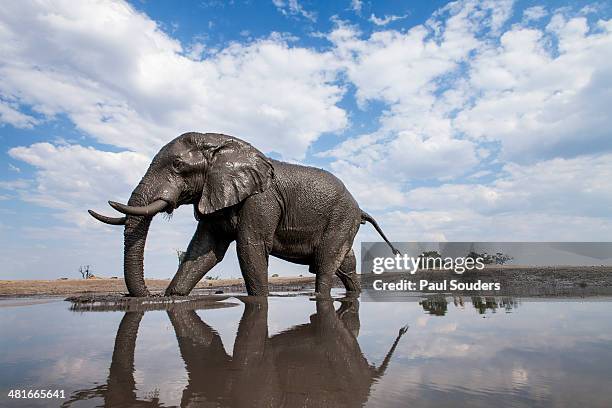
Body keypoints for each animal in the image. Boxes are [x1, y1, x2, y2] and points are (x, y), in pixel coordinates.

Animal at [88, 132, 400, 294]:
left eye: (177, 165)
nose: (148, 296)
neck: (220, 145)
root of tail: (360, 208)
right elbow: (204, 251)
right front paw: (173, 298)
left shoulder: (261, 201)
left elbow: (250, 248)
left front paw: (259, 301)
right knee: (345, 264)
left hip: (341, 217)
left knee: (325, 265)